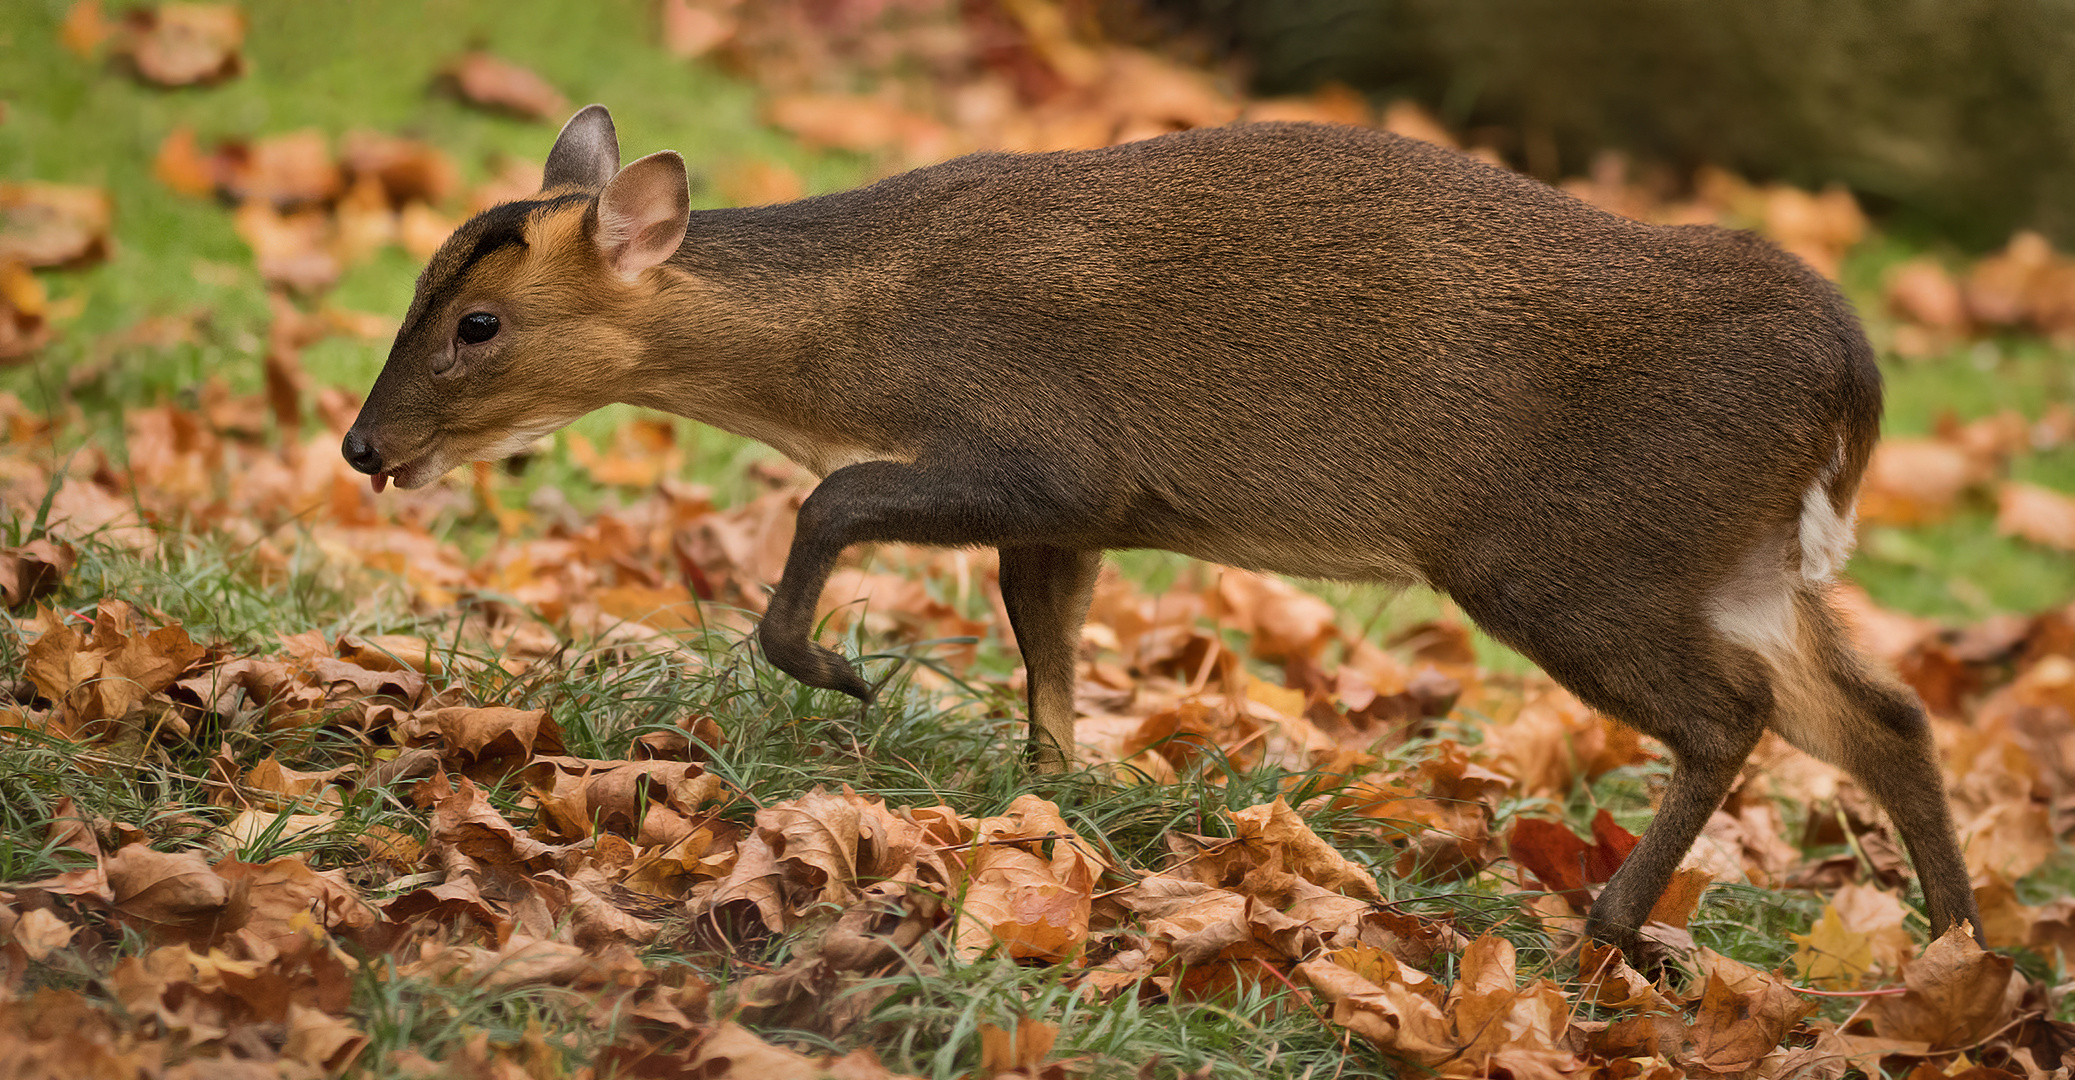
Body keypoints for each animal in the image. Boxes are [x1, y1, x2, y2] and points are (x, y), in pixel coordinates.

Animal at [348, 105, 1983, 959]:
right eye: (421, 284)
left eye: (478, 324)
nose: (363, 447)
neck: (853, 346)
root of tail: (1846, 380)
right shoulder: (1080, 514)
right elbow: (1048, 649)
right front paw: (1054, 810)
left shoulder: (1050, 451)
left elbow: (832, 502)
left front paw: (835, 673)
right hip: (1739, 564)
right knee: (1884, 715)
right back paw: (1957, 950)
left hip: (1569, 559)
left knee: (1732, 715)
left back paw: (1606, 927)